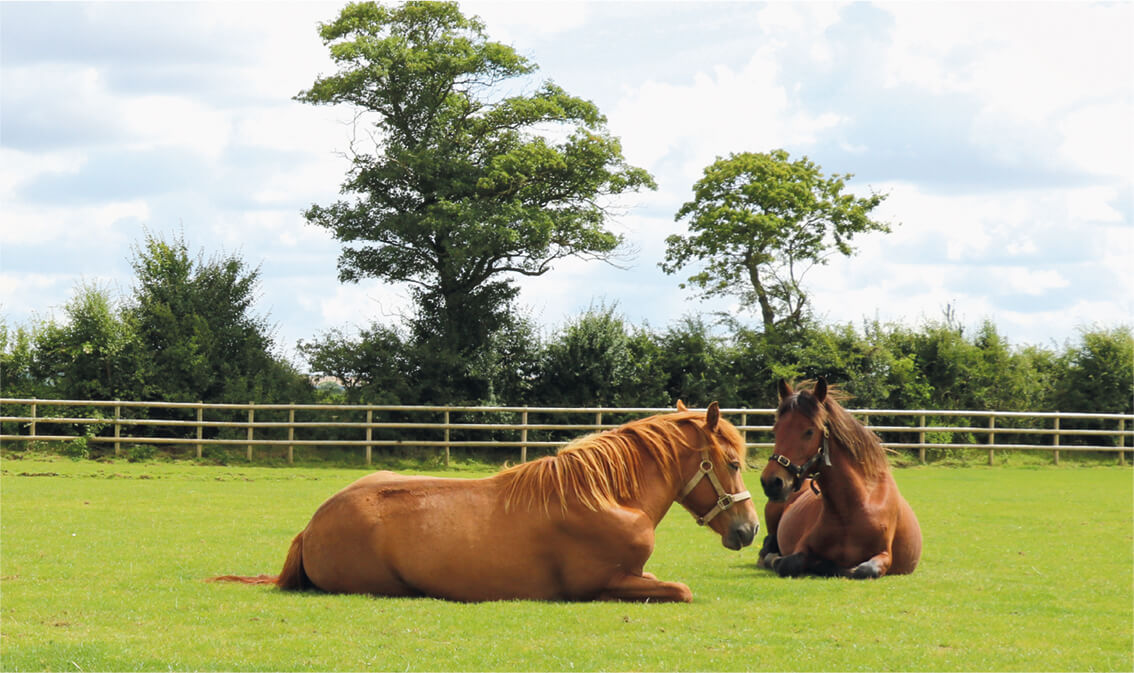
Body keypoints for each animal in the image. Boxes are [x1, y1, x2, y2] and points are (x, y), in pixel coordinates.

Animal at [209, 401, 759, 602]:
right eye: (733, 462)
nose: (750, 529)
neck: (606, 496)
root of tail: (312, 525)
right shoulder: (604, 583)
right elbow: (682, 590)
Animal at [757, 378, 922, 579]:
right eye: (776, 429)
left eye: (809, 431)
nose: (772, 482)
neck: (853, 508)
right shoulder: (801, 547)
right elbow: (787, 563)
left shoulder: (884, 554)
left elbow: (865, 570)